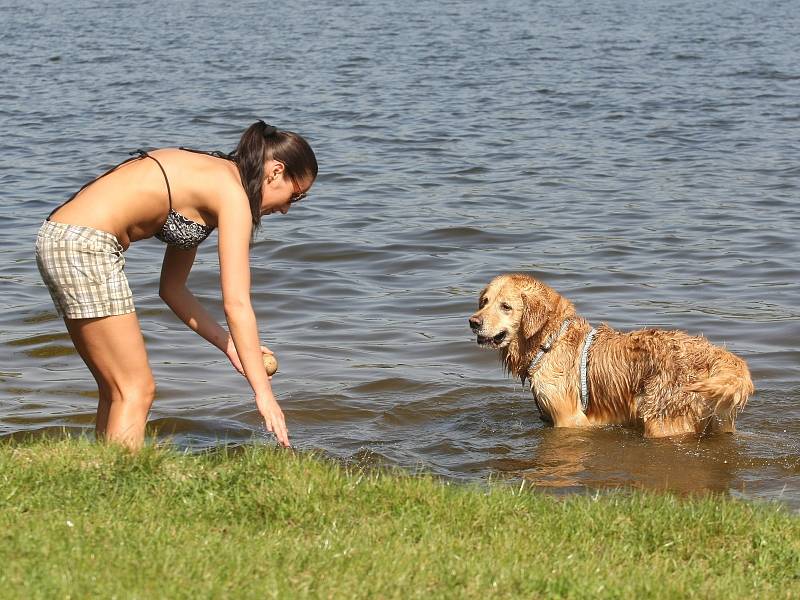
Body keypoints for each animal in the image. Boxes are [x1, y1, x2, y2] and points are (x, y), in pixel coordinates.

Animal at [466, 274, 752, 438]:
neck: (549, 341)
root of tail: (714, 354)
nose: (473, 322)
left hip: (662, 421)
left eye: (506, 306)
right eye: (484, 302)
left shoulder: (569, 419)